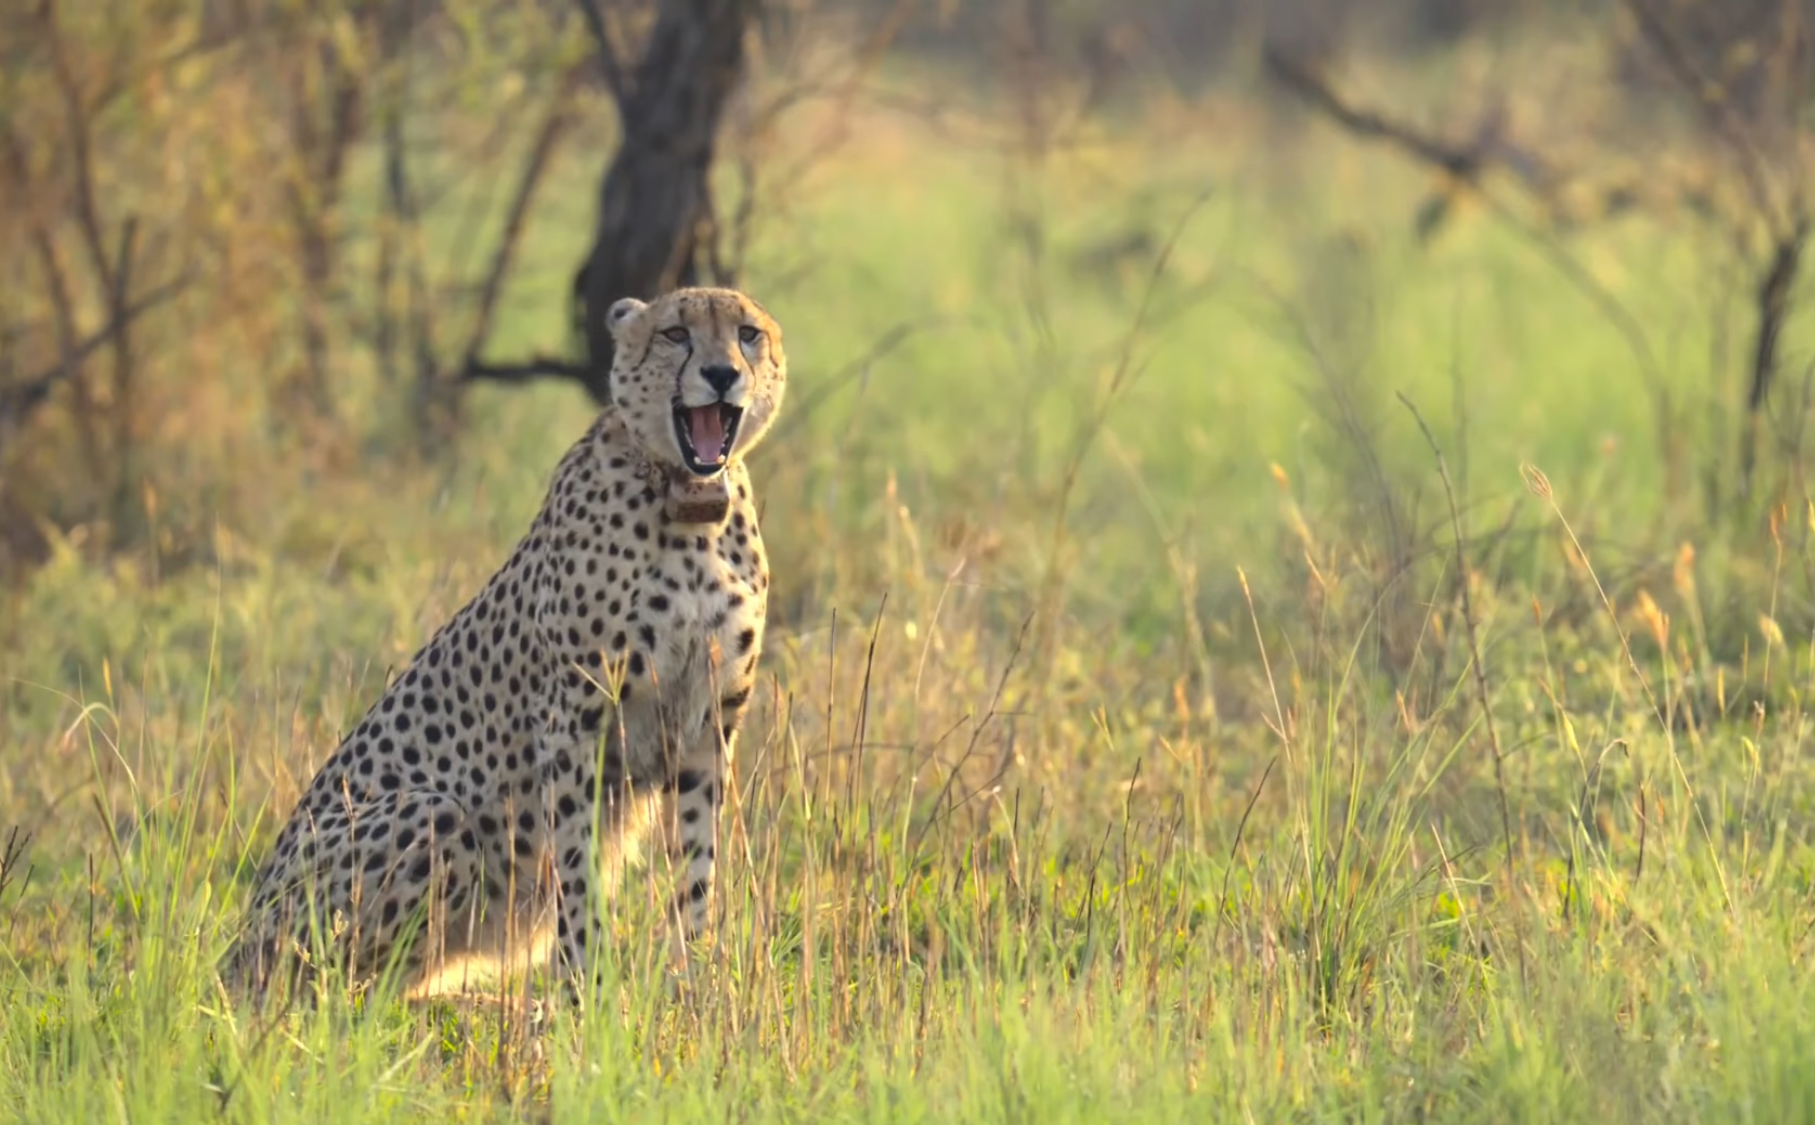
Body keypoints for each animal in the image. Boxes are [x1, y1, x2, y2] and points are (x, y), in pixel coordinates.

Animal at [223, 286, 786, 1004]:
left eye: (747, 333)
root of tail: (237, 943)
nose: (720, 374)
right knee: (337, 992)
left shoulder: (708, 726)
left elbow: (697, 866)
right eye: (675, 334)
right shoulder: (573, 721)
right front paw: (585, 993)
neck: (689, 507)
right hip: (428, 814)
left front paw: (693, 984)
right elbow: (576, 867)